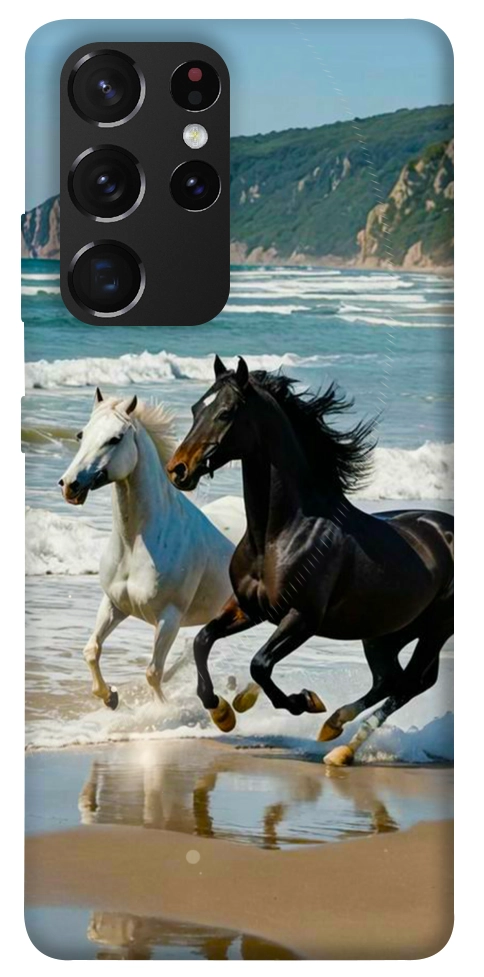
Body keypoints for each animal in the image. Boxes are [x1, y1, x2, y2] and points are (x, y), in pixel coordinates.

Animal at [59, 388, 234, 709]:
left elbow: (153, 672)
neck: (135, 544)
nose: (69, 485)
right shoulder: (114, 604)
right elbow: (91, 650)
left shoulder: (169, 618)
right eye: (81, 434)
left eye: (115, 438)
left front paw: (161, 711)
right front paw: (110, 697)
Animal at [166, 356, 454, 765]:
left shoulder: (302, 618)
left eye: (225, 413)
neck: (279, 534)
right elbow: (202, 641)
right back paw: (333, 728)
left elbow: (260, 663)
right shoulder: (248, 608)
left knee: (410, 683)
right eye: (195, 409)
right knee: (390, 679)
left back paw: (341, 746)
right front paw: (222, 712)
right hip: (385, 632)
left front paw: (303, 701)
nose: (178, 470)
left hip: (434, 629)